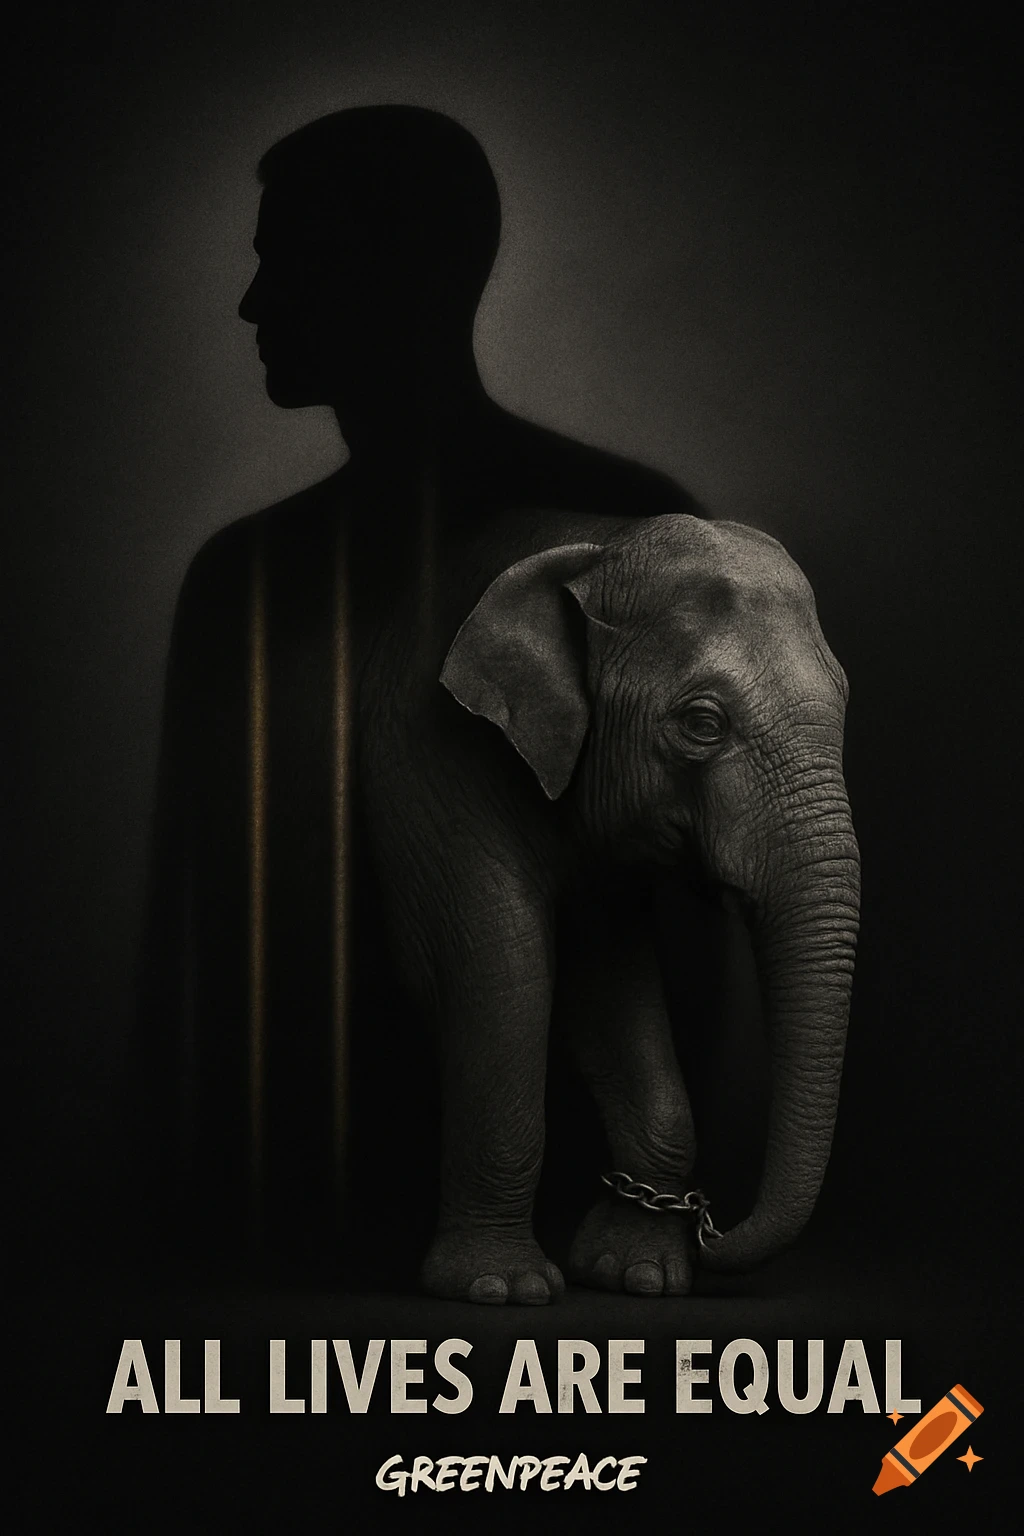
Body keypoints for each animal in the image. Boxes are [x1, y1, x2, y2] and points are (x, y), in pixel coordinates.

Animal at [358, 506, 860, 1304]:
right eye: (702, 724)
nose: (710, 1225)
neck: (589, 545)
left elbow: (613, 983)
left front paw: (639, 1274)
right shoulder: (430, 759)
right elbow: (496, 971)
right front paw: (501, 1289)